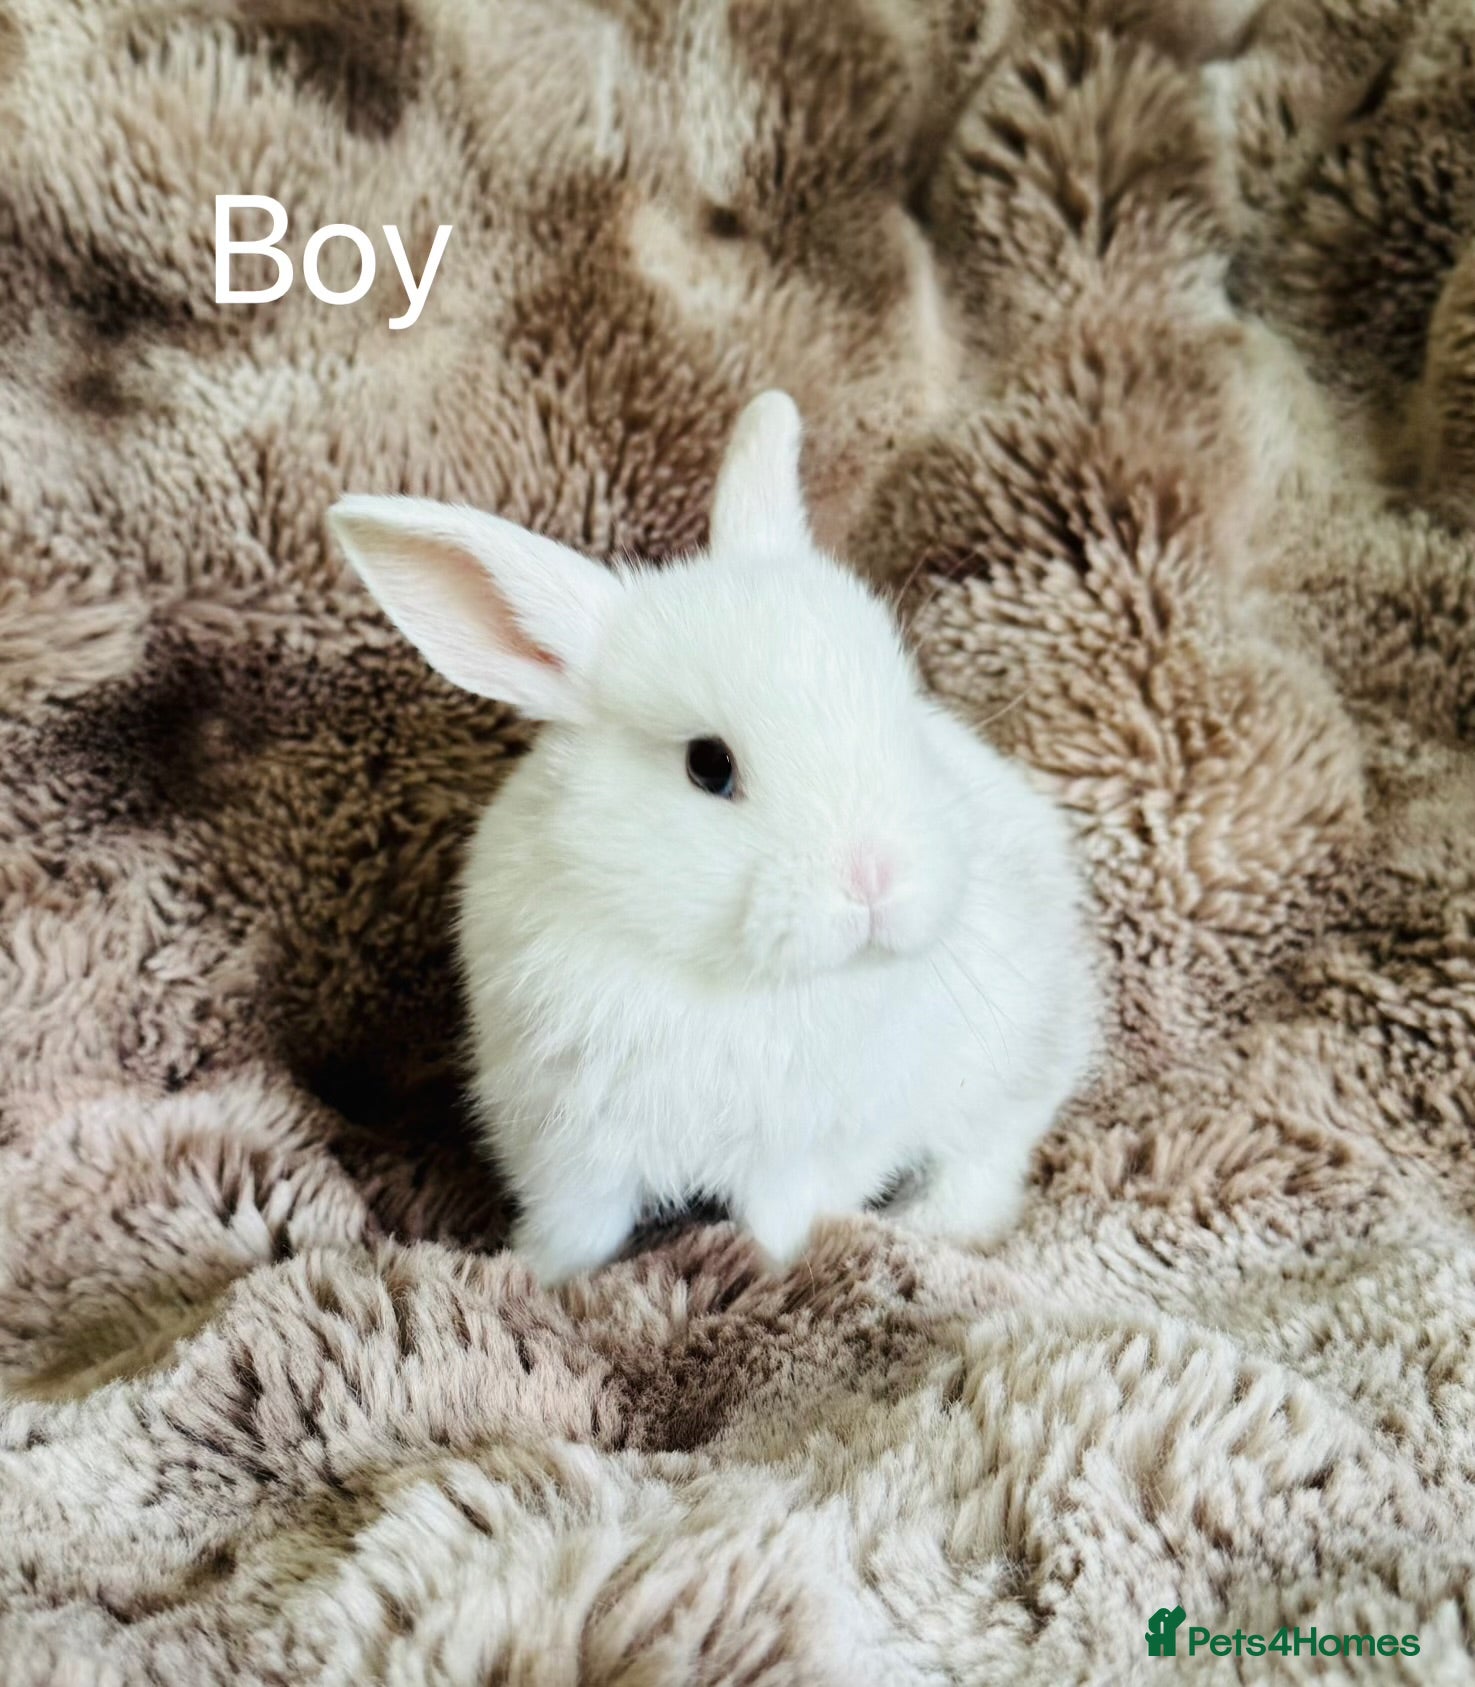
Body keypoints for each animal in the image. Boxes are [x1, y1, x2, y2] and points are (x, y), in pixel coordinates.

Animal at [328, 391, 1097, 1286]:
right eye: (708, 765)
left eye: (902, 712)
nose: (874, 878)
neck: (717, 974)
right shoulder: (567, 1144)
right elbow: (576, 1232)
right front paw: (541, 1281)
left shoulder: (805, 1153)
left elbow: (779, 1227)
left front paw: (772, 1277)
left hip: (1012, 1057)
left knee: (987, 1156)